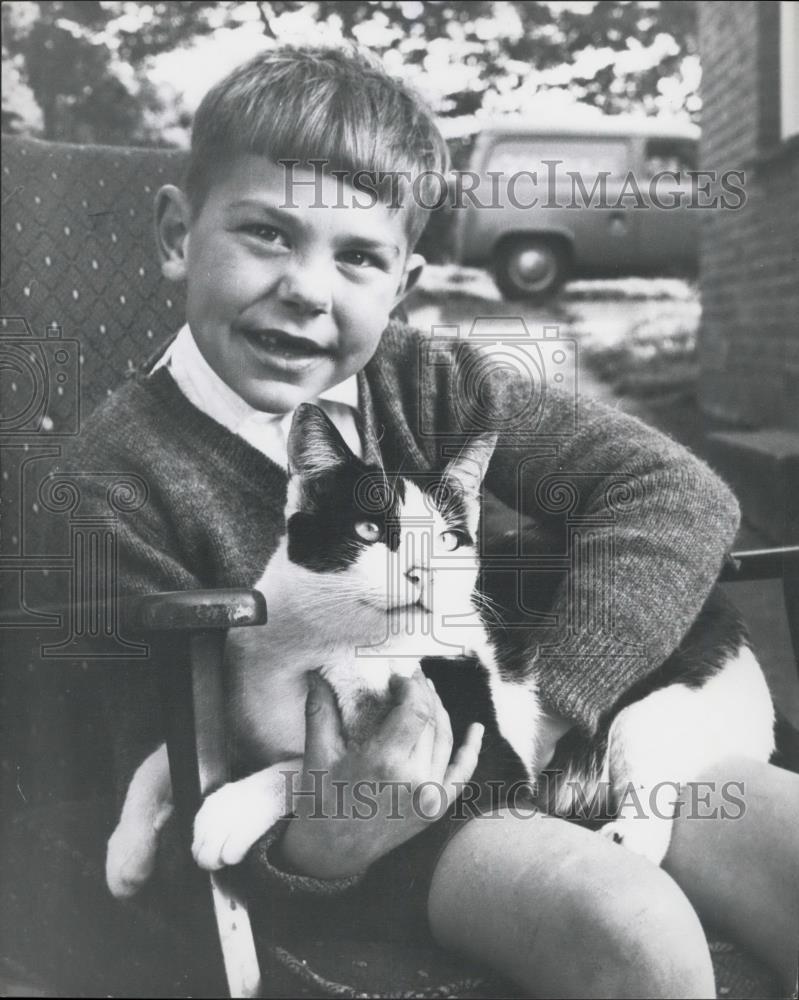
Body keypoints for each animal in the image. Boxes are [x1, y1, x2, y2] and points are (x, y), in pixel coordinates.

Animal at [106, 404, 776, 900]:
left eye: (450, 540)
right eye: (370, 530)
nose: (423, 571)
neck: (329, 641)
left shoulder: (489, 758)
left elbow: (314, 768)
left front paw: (229, 810)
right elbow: (160, 757)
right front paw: (126, 850)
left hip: (654, 712)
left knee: (649, 807)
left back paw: (622, 837)